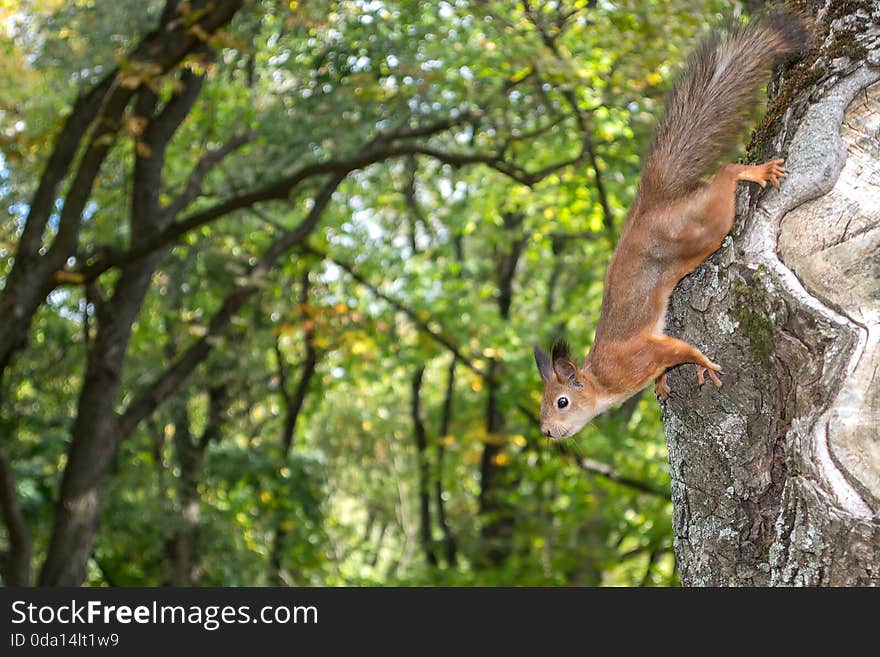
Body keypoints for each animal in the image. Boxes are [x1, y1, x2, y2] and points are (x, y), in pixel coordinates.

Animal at [528, 7, 812, 438]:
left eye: (562, 402)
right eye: (544, 405)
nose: (546, 432)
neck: (601, 382)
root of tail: (649, 207)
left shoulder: (641, 355)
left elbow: (682, 350)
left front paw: (704, 365)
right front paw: (662, 383)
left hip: (703, 228)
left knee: (725, 176)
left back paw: (754, 171)